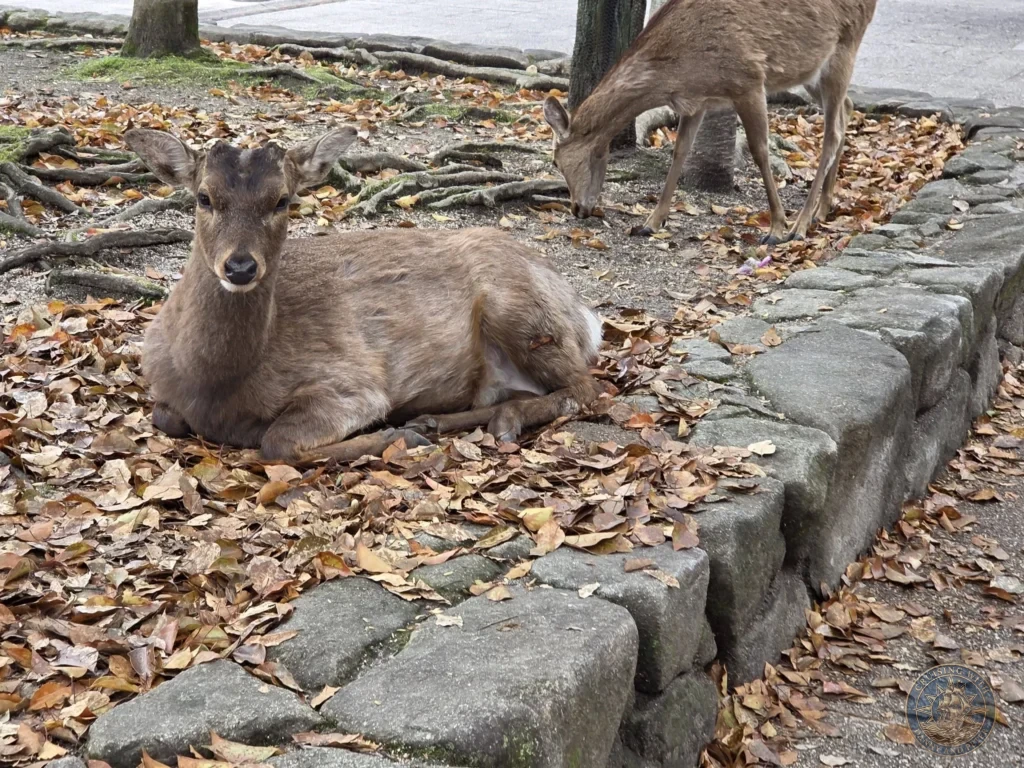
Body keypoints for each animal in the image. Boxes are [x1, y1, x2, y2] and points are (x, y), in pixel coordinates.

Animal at [125, 127, 605, 464]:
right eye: (204, 197)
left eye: (282, 200)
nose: (240, 267)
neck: (214, 385)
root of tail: (585, 314)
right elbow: (164, 415)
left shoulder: (352, 384)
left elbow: (277, 442)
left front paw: (395, 436)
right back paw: (434, 420)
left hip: (521, 311)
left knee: (585, 386)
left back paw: (488, 422)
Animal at [544, 0, 878, 244]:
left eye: (556, 161)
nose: (577, 209)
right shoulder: (696, 102)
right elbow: (680, 152)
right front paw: (651, 222)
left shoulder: (749, 80)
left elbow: (759, 151)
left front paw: (776, 227)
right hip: (810, 69)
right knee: (847, 108)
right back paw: (823, 209)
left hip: (845, 45)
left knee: (833, 133)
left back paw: (801, 224)